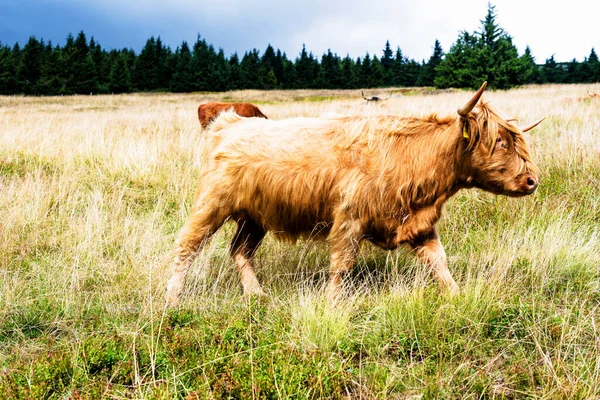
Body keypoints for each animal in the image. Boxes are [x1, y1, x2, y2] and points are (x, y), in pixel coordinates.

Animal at [166, 81, 548, 306]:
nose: (532, 181)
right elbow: (342, 267)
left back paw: (256, 293)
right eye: (499, 142)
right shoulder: (348, 221)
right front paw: (332, 306)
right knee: (187, 246)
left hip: (254, 216)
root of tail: (230, 122)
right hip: (212, 204)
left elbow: (439, 262)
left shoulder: (419, 223)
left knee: (239, 250)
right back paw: (171, 299)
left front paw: (456, 296)